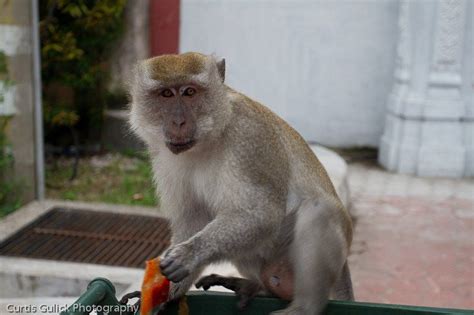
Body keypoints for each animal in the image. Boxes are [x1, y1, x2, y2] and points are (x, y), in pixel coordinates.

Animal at [128, 53, 354, 314]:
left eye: (189, 92)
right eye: (165, 94)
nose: (178, 122)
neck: (208, 139)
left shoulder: (250, 136)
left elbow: (262, 214)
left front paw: (191, 254)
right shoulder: (163, 157)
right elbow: (193, 219)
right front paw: (167, 292)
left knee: (319, 211)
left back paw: (304, 307)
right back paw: (254, 287)